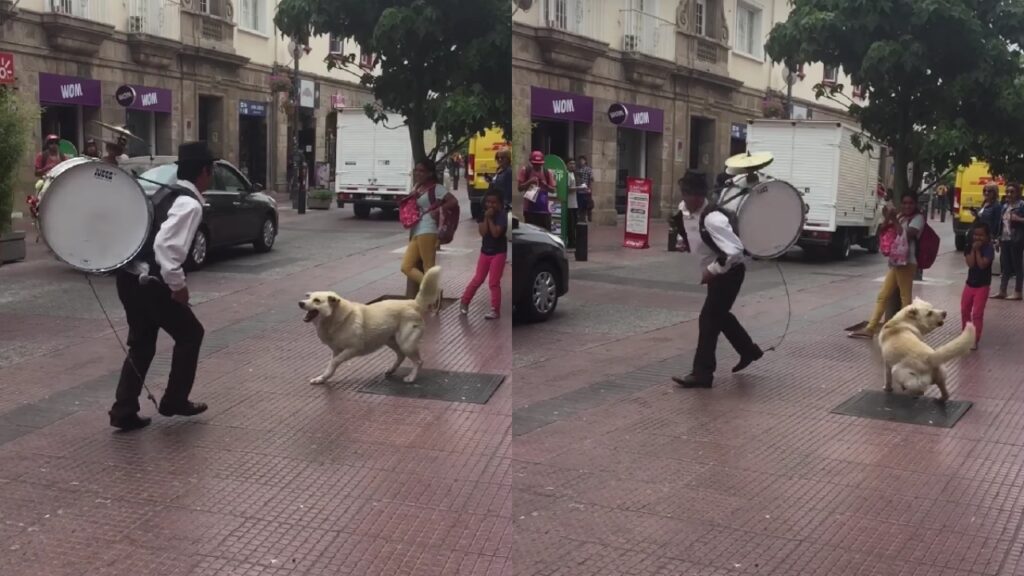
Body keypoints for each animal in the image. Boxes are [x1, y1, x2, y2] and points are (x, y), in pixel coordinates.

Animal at [296, 266, 440, 383]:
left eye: (317, 300)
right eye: (309, 298)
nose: (300, 302)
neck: (336, 319)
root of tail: (412, 303)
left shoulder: (353, 348)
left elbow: (334, 362)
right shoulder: (336, 350)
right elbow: (330, 366)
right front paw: (322, 378)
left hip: (406, 344)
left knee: (419, 361)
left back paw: (411, 377)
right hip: (391, 341)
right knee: (401, 355)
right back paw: (391, 370)